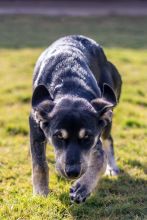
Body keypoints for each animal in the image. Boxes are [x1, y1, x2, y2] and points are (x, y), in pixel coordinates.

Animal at [29, 35, 121, 204]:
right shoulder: (35, 124)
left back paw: (112, 168)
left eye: (87, 137)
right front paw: (41, 193)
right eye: (58, 136)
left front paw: (82, 188)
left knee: (108, 140)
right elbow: (39, 163)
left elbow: (100, 159)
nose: (72, 173)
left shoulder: (95, 136)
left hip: (108, 116)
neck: (70, 87)